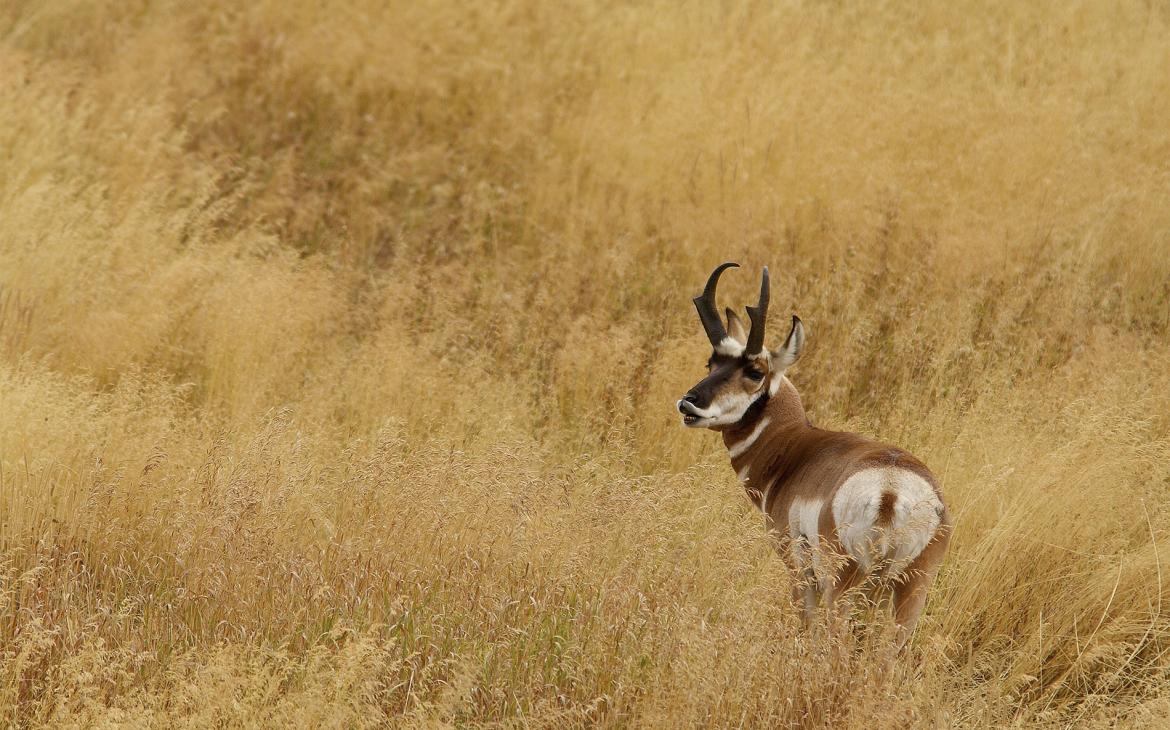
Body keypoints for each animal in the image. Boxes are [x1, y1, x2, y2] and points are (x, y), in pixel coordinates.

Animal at [678, 262, 950, 650]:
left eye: (755, 371)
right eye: (711, 362)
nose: (689, 403)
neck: (796, 448)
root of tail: (891, 487)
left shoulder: (799, 572)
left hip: (844, 587)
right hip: (911, 590)